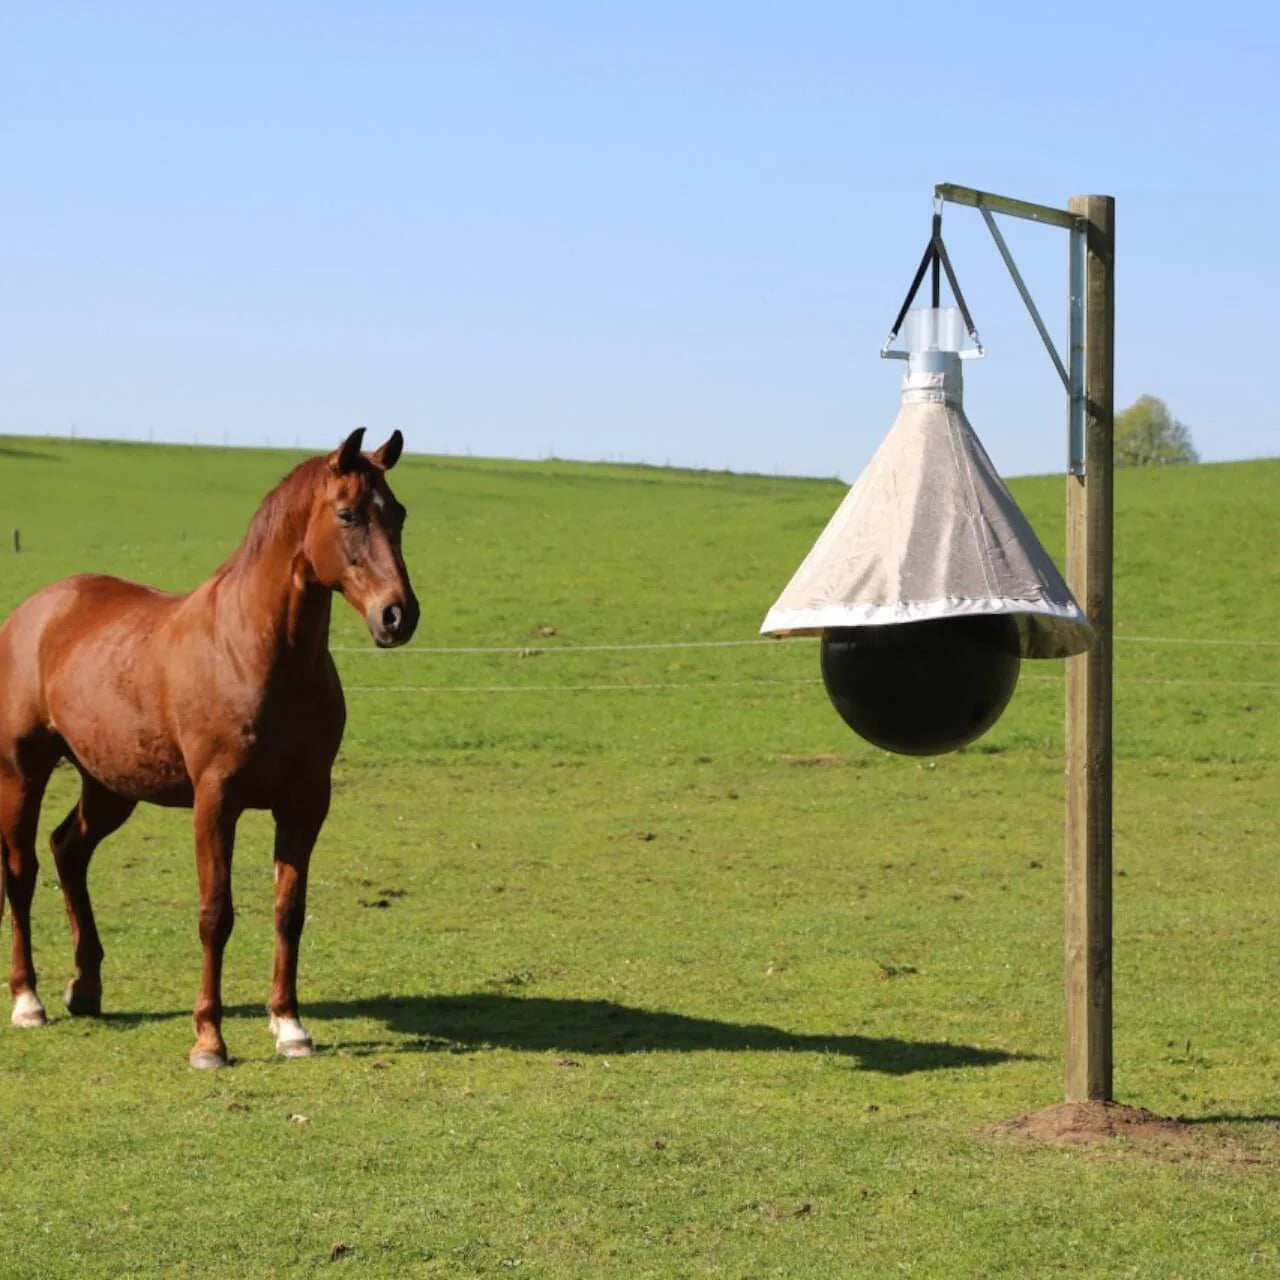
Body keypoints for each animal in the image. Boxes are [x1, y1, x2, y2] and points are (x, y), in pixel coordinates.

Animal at [0, 428, 418, 1068]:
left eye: (397, 514)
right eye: (348, 514)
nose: (398, 615)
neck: (254, 652)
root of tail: (37, 611)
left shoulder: (305, 802)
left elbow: (289, 911)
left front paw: (290, 1026)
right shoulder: (216, 800)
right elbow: (214, 914)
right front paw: (209, 1039)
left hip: (110, 786)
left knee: (68, 850)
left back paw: (86, 989)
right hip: (24, 770)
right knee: (22, 871)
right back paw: (29, 1001)